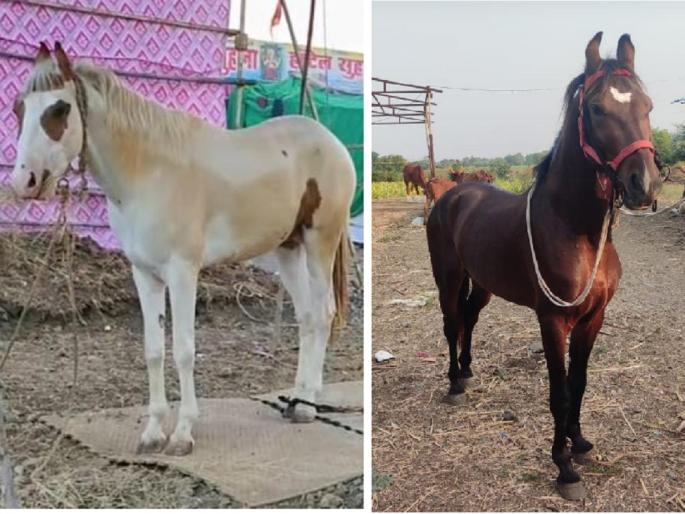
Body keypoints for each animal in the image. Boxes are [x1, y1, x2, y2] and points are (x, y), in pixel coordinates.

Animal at [10, 42, 355, 456]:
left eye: (59, 110)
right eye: (19, 107)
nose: (23, 182)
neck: (149, 171)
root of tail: (332, 142)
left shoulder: (182, 272)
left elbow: (184, 350)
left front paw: (182, 433)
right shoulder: (144, 274)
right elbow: (154, 350)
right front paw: (152, 431)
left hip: (321, 241)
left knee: (322, 315)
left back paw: (307, 406)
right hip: (288, 248)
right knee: (305, 318)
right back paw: (296, 399)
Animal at [426, 32, 660, 500]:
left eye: (647, 105)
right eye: (596, 108)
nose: (643, 184)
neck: (574, 228)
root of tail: (451, 195)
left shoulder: (593, 318)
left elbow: (579, 382)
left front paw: (581, 443)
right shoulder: (552, 320)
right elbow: (559, 392)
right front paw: (564, 467)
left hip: (482, 285)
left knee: (468, 320)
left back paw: (468, 371)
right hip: (447, 277)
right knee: (450, 322)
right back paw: (454, 383)